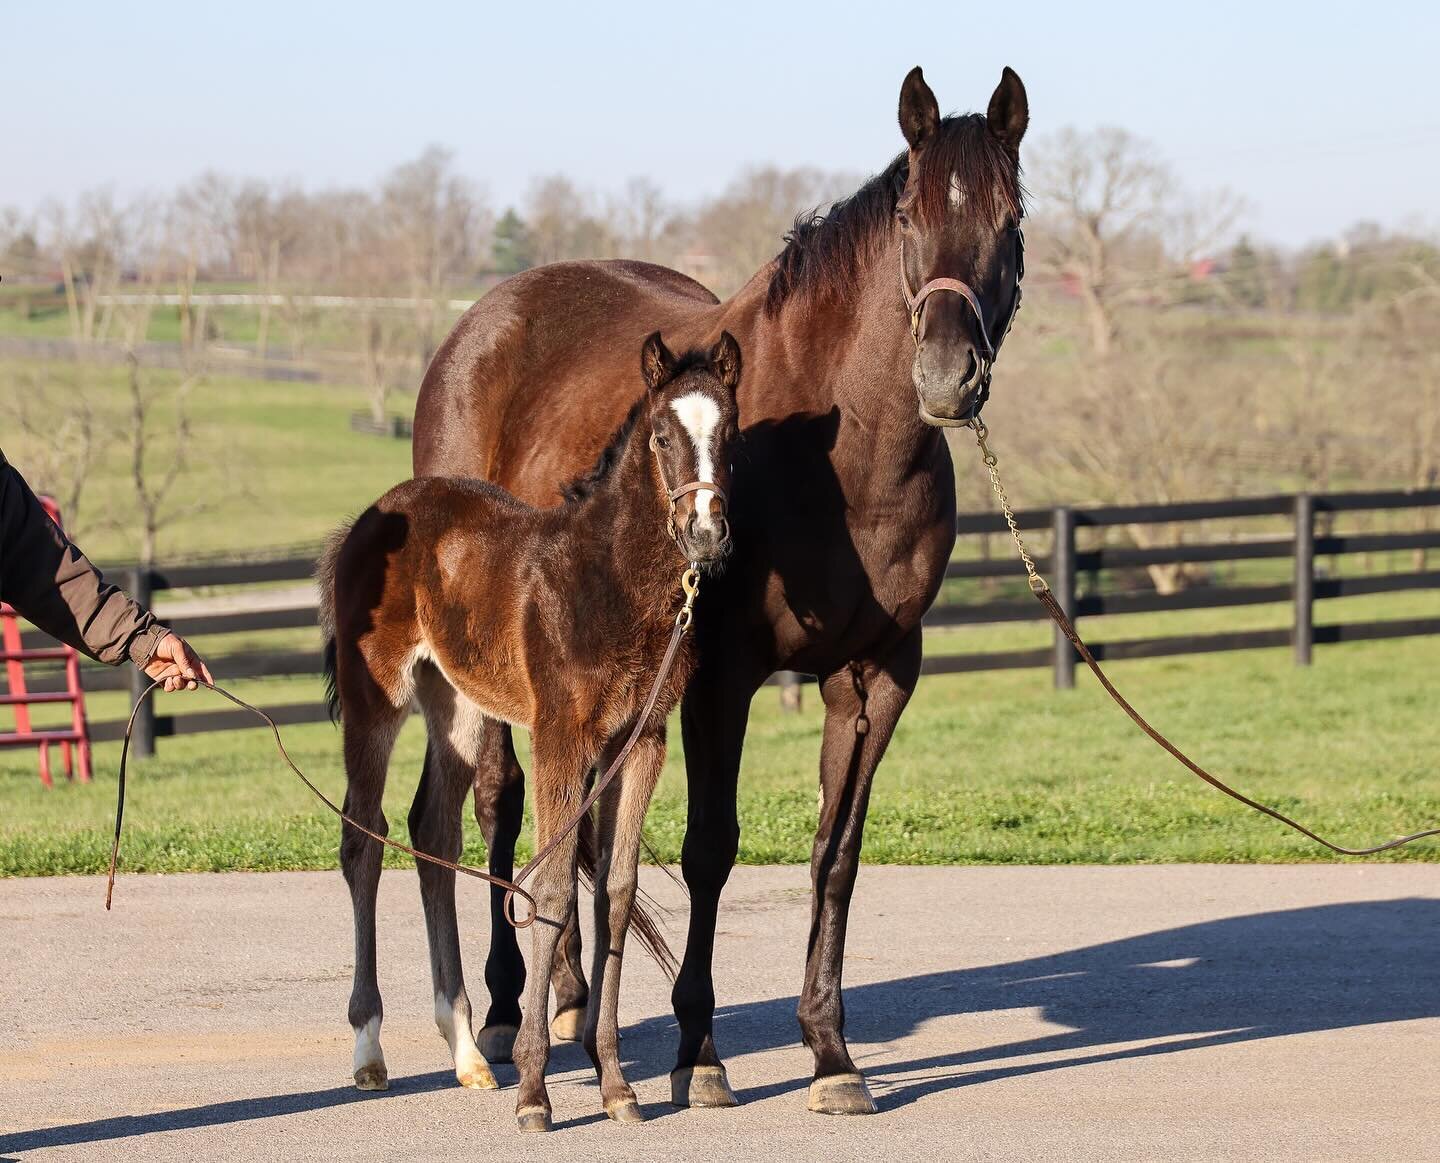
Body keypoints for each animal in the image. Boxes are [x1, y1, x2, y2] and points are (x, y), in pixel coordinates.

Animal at [316, 331, 743, 1128]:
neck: (607, 582)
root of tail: (371, 516)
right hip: (376, 698)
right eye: (660, 435)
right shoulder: (558, 734)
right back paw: (369, 1048)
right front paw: (537, 1091)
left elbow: (614, 892)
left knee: (432, 833)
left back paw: (467, 1052)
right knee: (364, 840)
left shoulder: (640, 740)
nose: (705, 533)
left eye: (729, 433)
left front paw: (615, 1086)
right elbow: (548, 889)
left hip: (457, 705)